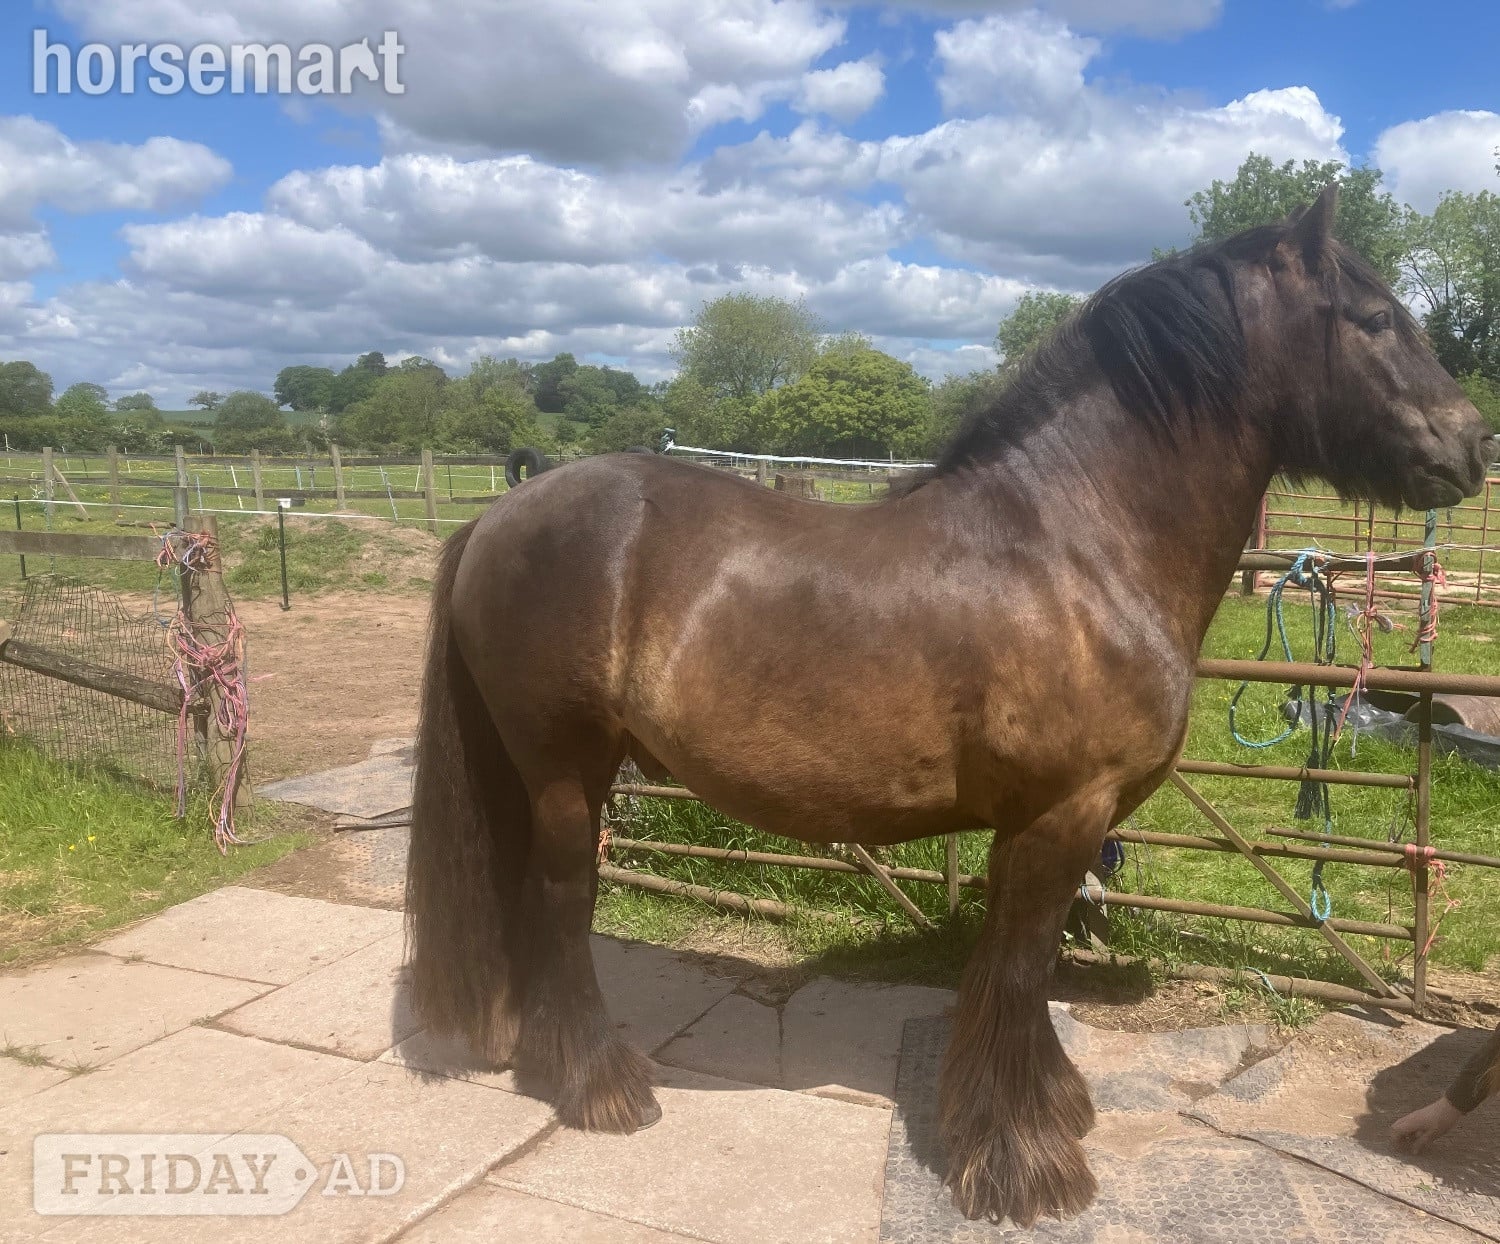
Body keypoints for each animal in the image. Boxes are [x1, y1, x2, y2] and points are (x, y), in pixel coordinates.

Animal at [403, 185, 1494, 1226]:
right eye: (1374, 318)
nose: (1473, 442)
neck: (1080, 546)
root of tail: (501, 512)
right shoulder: (1063, 815)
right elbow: (1016, 969)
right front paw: (1025, 1166)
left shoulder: (1038, 825)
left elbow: (1019, 970)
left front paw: (1041, 1112)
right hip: (565, 770)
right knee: (559, 904)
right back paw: (601, 1086)